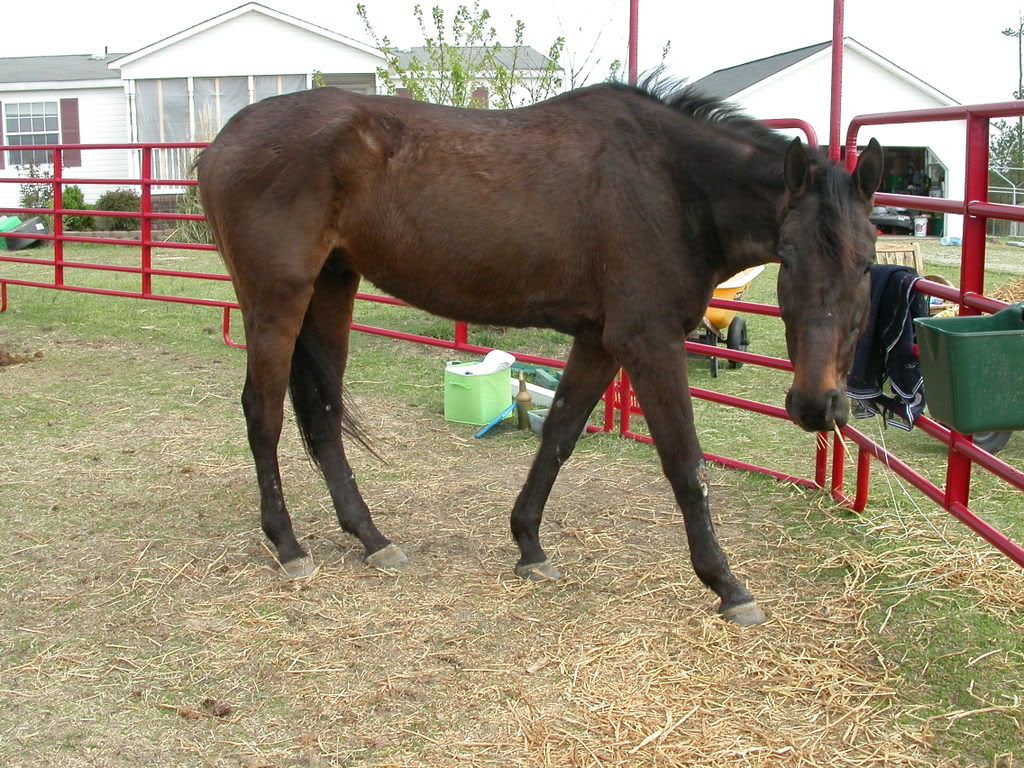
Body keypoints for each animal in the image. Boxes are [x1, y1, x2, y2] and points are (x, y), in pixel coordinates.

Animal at [197, 80, 883, 627]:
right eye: (788, 257)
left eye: (868, 261)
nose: (818, 405)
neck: (670, 182)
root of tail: (222, 142)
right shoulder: (648, 340)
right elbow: (686, 464)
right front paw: (726, 584)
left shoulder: (600, 340)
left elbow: (558, 435)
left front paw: (528, 544)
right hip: (276, 301)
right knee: (263, 414)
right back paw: (288, 546)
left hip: (332, 291)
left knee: (323, 417)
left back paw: (372, 538)